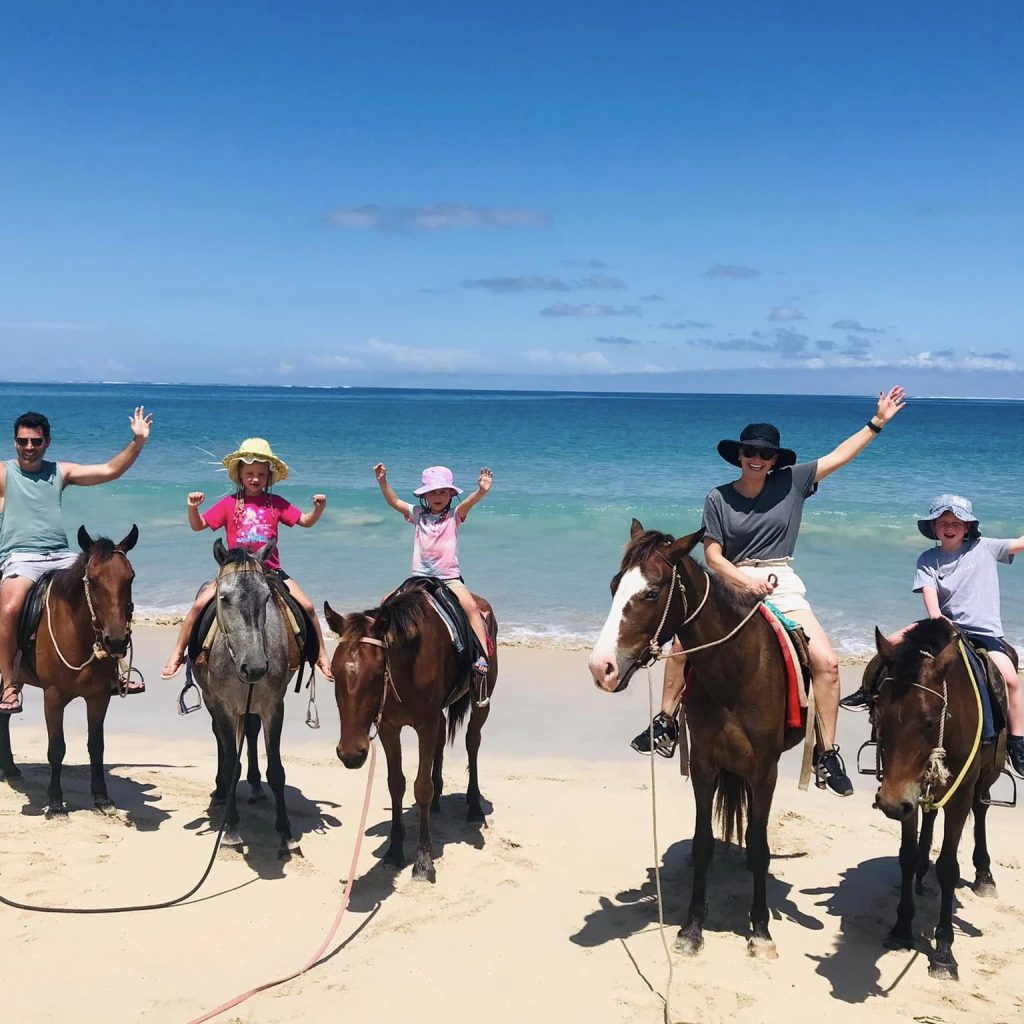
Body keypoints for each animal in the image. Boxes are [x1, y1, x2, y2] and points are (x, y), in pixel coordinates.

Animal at [0, 528, 138, 815]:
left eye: (130, 577)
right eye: (93, 581)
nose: (116, 642)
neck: (79, 634)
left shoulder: (98, 697)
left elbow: (96, 746)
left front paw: (101, 797)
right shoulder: (53, 698)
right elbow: (56, 748)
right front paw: (55, 802)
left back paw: (9, 768)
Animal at [192, 540, 299, 851]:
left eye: (266, 597)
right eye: (224, 598)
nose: (255, 667)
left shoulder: (273, 707)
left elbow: (276, 769)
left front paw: (285, 831)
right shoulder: (223, 706)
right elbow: (230, 763)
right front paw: (231, 829)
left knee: (250, 732)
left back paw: (254, 786)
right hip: (212, 702)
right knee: (220, 740)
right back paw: (220, 792)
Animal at [321, 581, 493, 884]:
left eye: (376, 674)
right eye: (334, 673)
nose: (351, 754)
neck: (408, 665)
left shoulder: (425, 724)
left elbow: (421, 787)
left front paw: (423, 862)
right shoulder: (389, 728)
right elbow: (396, 784)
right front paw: (393, 851)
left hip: (480, 700)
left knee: (473, 742)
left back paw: (473, 807)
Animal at [589, 520, 802, 958]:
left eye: (652, 592)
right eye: (615, 585)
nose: (601, 668)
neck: (735, 671)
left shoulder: (764, 771)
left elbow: (760, 846)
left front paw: (760, 930)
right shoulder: (705, 765)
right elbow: (703, 843)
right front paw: (692, 927)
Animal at [872, 618, 1007, 978]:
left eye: (930, 721)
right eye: (879, 714)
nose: (890, 803)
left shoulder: (959, 793)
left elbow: (948, 867)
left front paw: (944, 950)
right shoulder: (907, 793)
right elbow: (905, 855)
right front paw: (901, 928)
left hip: (986, 776)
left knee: (981, 808)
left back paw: (984, 874)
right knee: (931, 814)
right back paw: (922, 870)